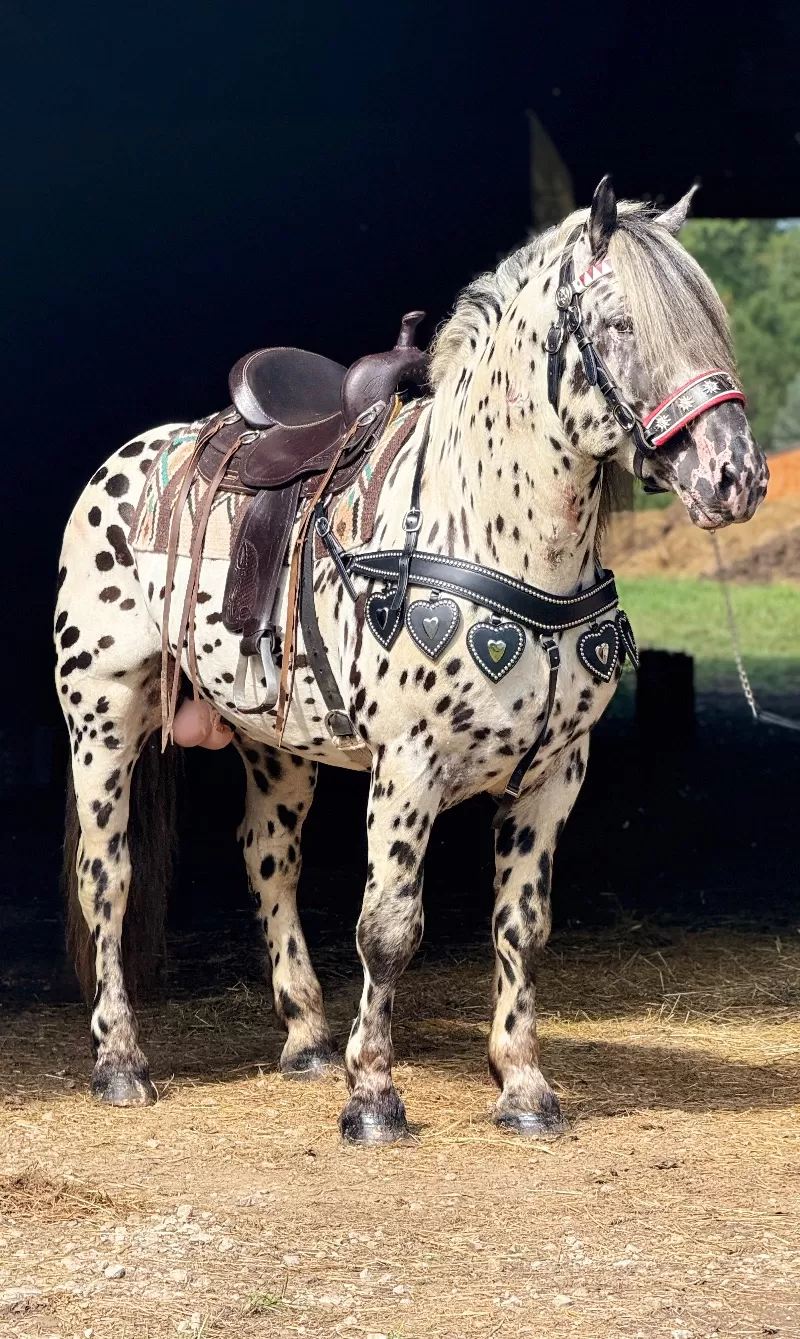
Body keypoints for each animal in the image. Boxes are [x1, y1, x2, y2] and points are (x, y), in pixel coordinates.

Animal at [55, 177, 768, 1144]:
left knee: (268, 859)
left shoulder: (557, 774)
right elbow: (388, 928)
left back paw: (307, 1038)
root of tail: (122, 465)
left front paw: (524, 1087)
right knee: (108, 880)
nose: (735, 476)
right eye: (621, 323)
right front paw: (373, 1099)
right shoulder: (409, 766)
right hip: (101, 721)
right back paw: (121, 1061)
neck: (489, 529)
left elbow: (522, 927)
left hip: (277, 747)